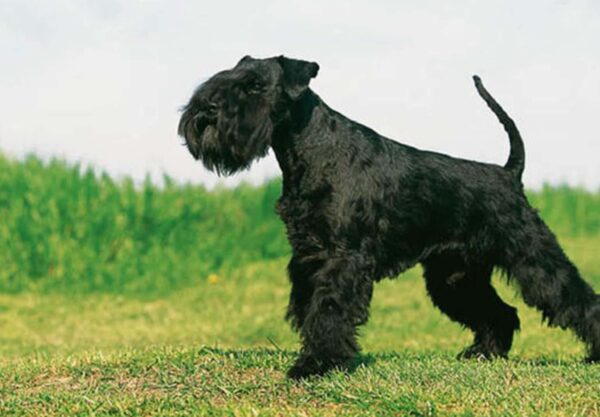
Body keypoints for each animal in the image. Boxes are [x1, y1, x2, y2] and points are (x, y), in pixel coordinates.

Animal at [178, 57, 600, 378]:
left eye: (254, 86)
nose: (206, 111)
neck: (312, 150)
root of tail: (509, 173)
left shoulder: (342, 258)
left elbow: (328, 311)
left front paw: (316, 364)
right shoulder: (308, 256)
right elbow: (309, 308)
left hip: (533, 256)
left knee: (575, 296)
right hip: (455, 276)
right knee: (500, 312)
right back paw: (482, 352)